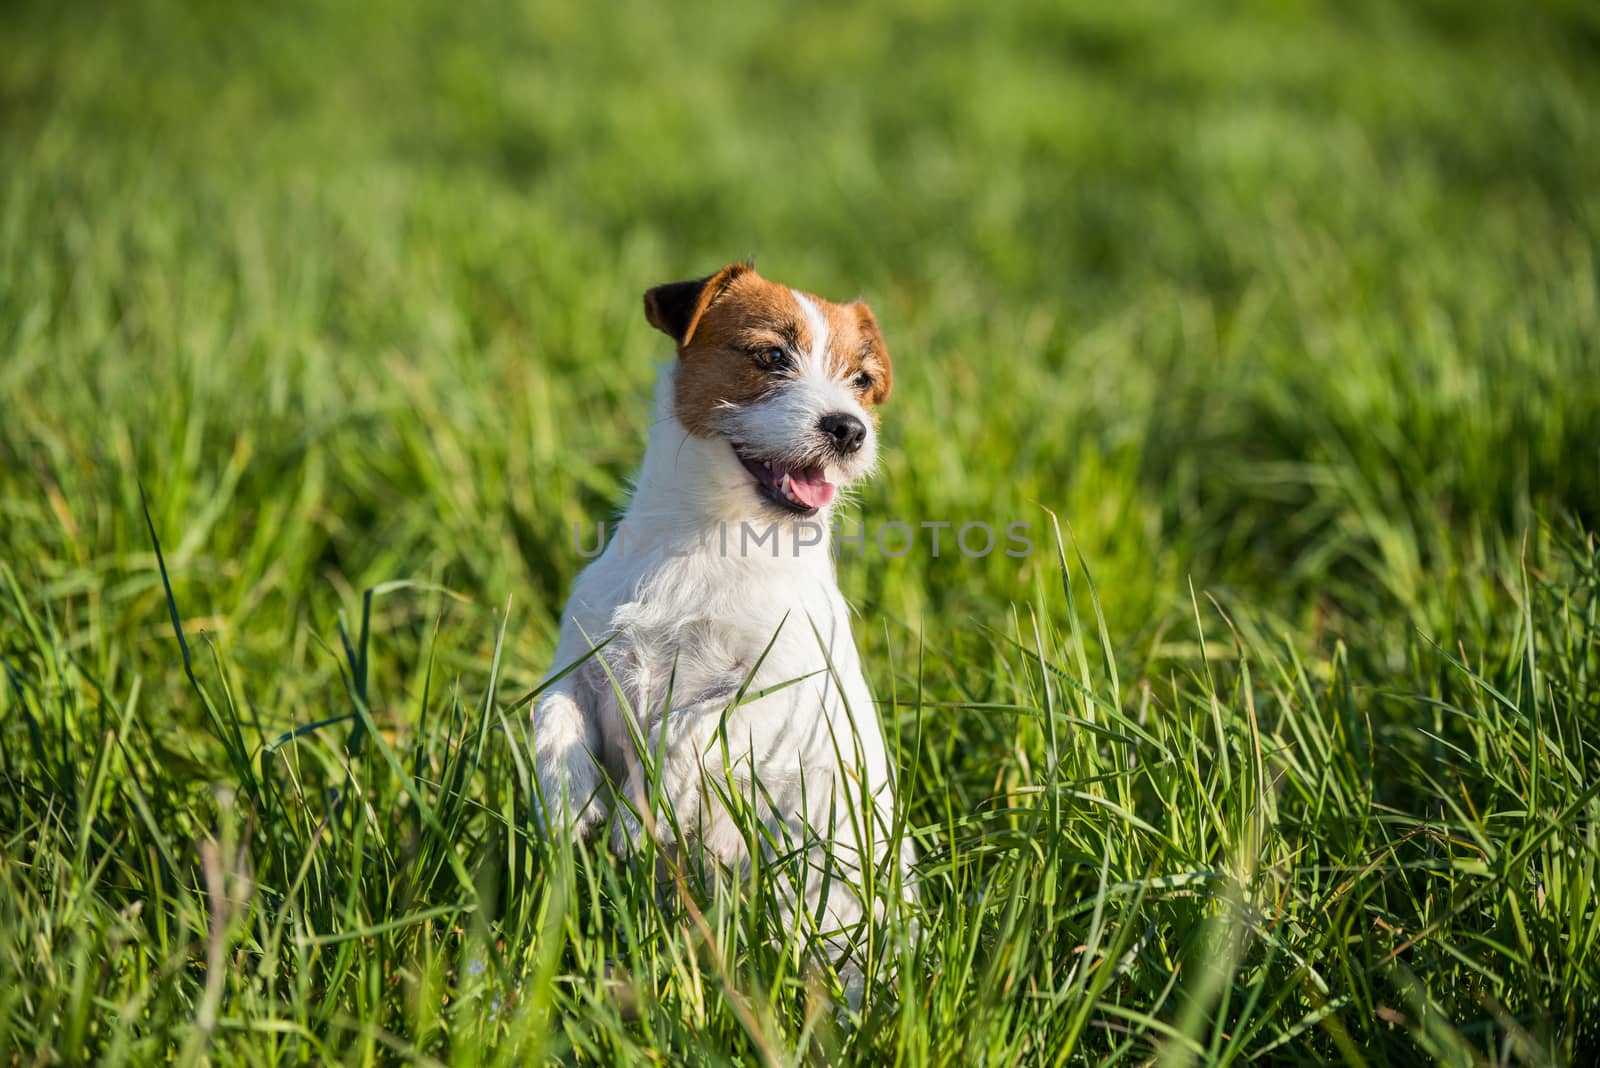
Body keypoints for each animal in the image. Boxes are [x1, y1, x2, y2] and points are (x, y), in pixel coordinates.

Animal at [534, 262, 915, 978]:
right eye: (770, 357)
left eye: (860, 380)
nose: (850, 428)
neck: (715, 540)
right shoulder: (581, 663)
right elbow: (552, 716)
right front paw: (568, 798)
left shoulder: (780, 689)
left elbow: (688, 728)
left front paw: (641, 815)